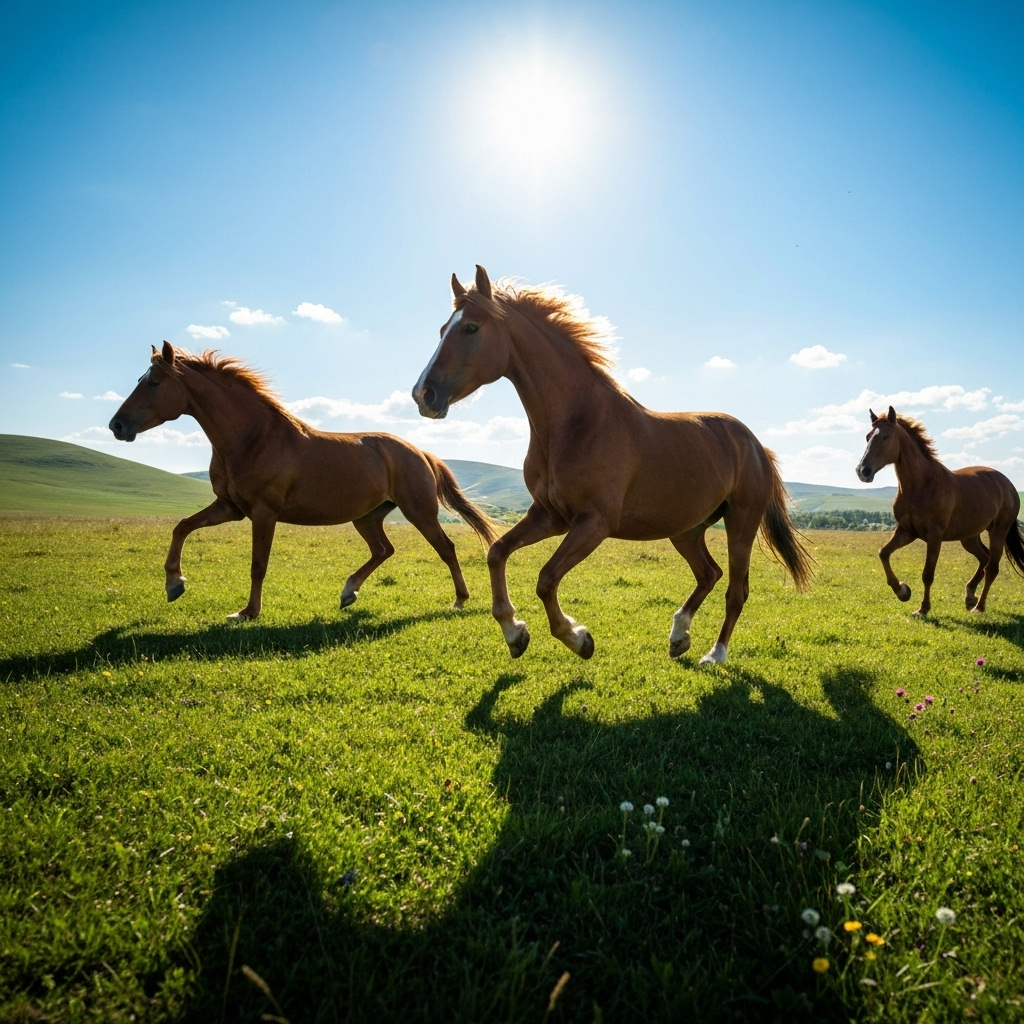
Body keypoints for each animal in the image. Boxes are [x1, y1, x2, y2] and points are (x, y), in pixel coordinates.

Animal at [109, 342, 497, 620]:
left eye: (154, 383)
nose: (117, 425)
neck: (252, 437)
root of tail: (420, 452)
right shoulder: (231, 507)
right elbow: (182, 526)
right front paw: (174, 584)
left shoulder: (264, 512)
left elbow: (258, 564)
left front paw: (247, 612)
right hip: (368, 516)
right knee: (383, 550)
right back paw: (348, 592)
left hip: (418, 511)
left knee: (445, 548)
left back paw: (459, 600)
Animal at [412, 266, 812, 665]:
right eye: (443, 329)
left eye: (471, 328)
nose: (423, 395)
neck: (577, 423)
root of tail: (756, 446)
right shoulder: (549, 516)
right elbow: (497, 553)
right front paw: (515, 632)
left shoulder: (594, 523)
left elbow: (546, 579)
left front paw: (577, 638)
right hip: (686, 529)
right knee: (708, 574)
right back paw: (678, 636)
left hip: (741, 523)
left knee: (735, 590)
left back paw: (715, 653)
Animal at [855, 405, 1024, 616]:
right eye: (868, 437)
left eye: (885, 437)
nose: (863, 471)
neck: (921, 485)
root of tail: (1008, 485)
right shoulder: (906, 531)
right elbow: (883, 553)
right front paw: (902, 591)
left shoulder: (934, 536)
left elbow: (928, 573)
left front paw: (923, 608)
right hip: (969, 536)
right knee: (984, 559)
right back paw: (970, 596)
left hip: (998, 532)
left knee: (992, 568)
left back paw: (978, 606)